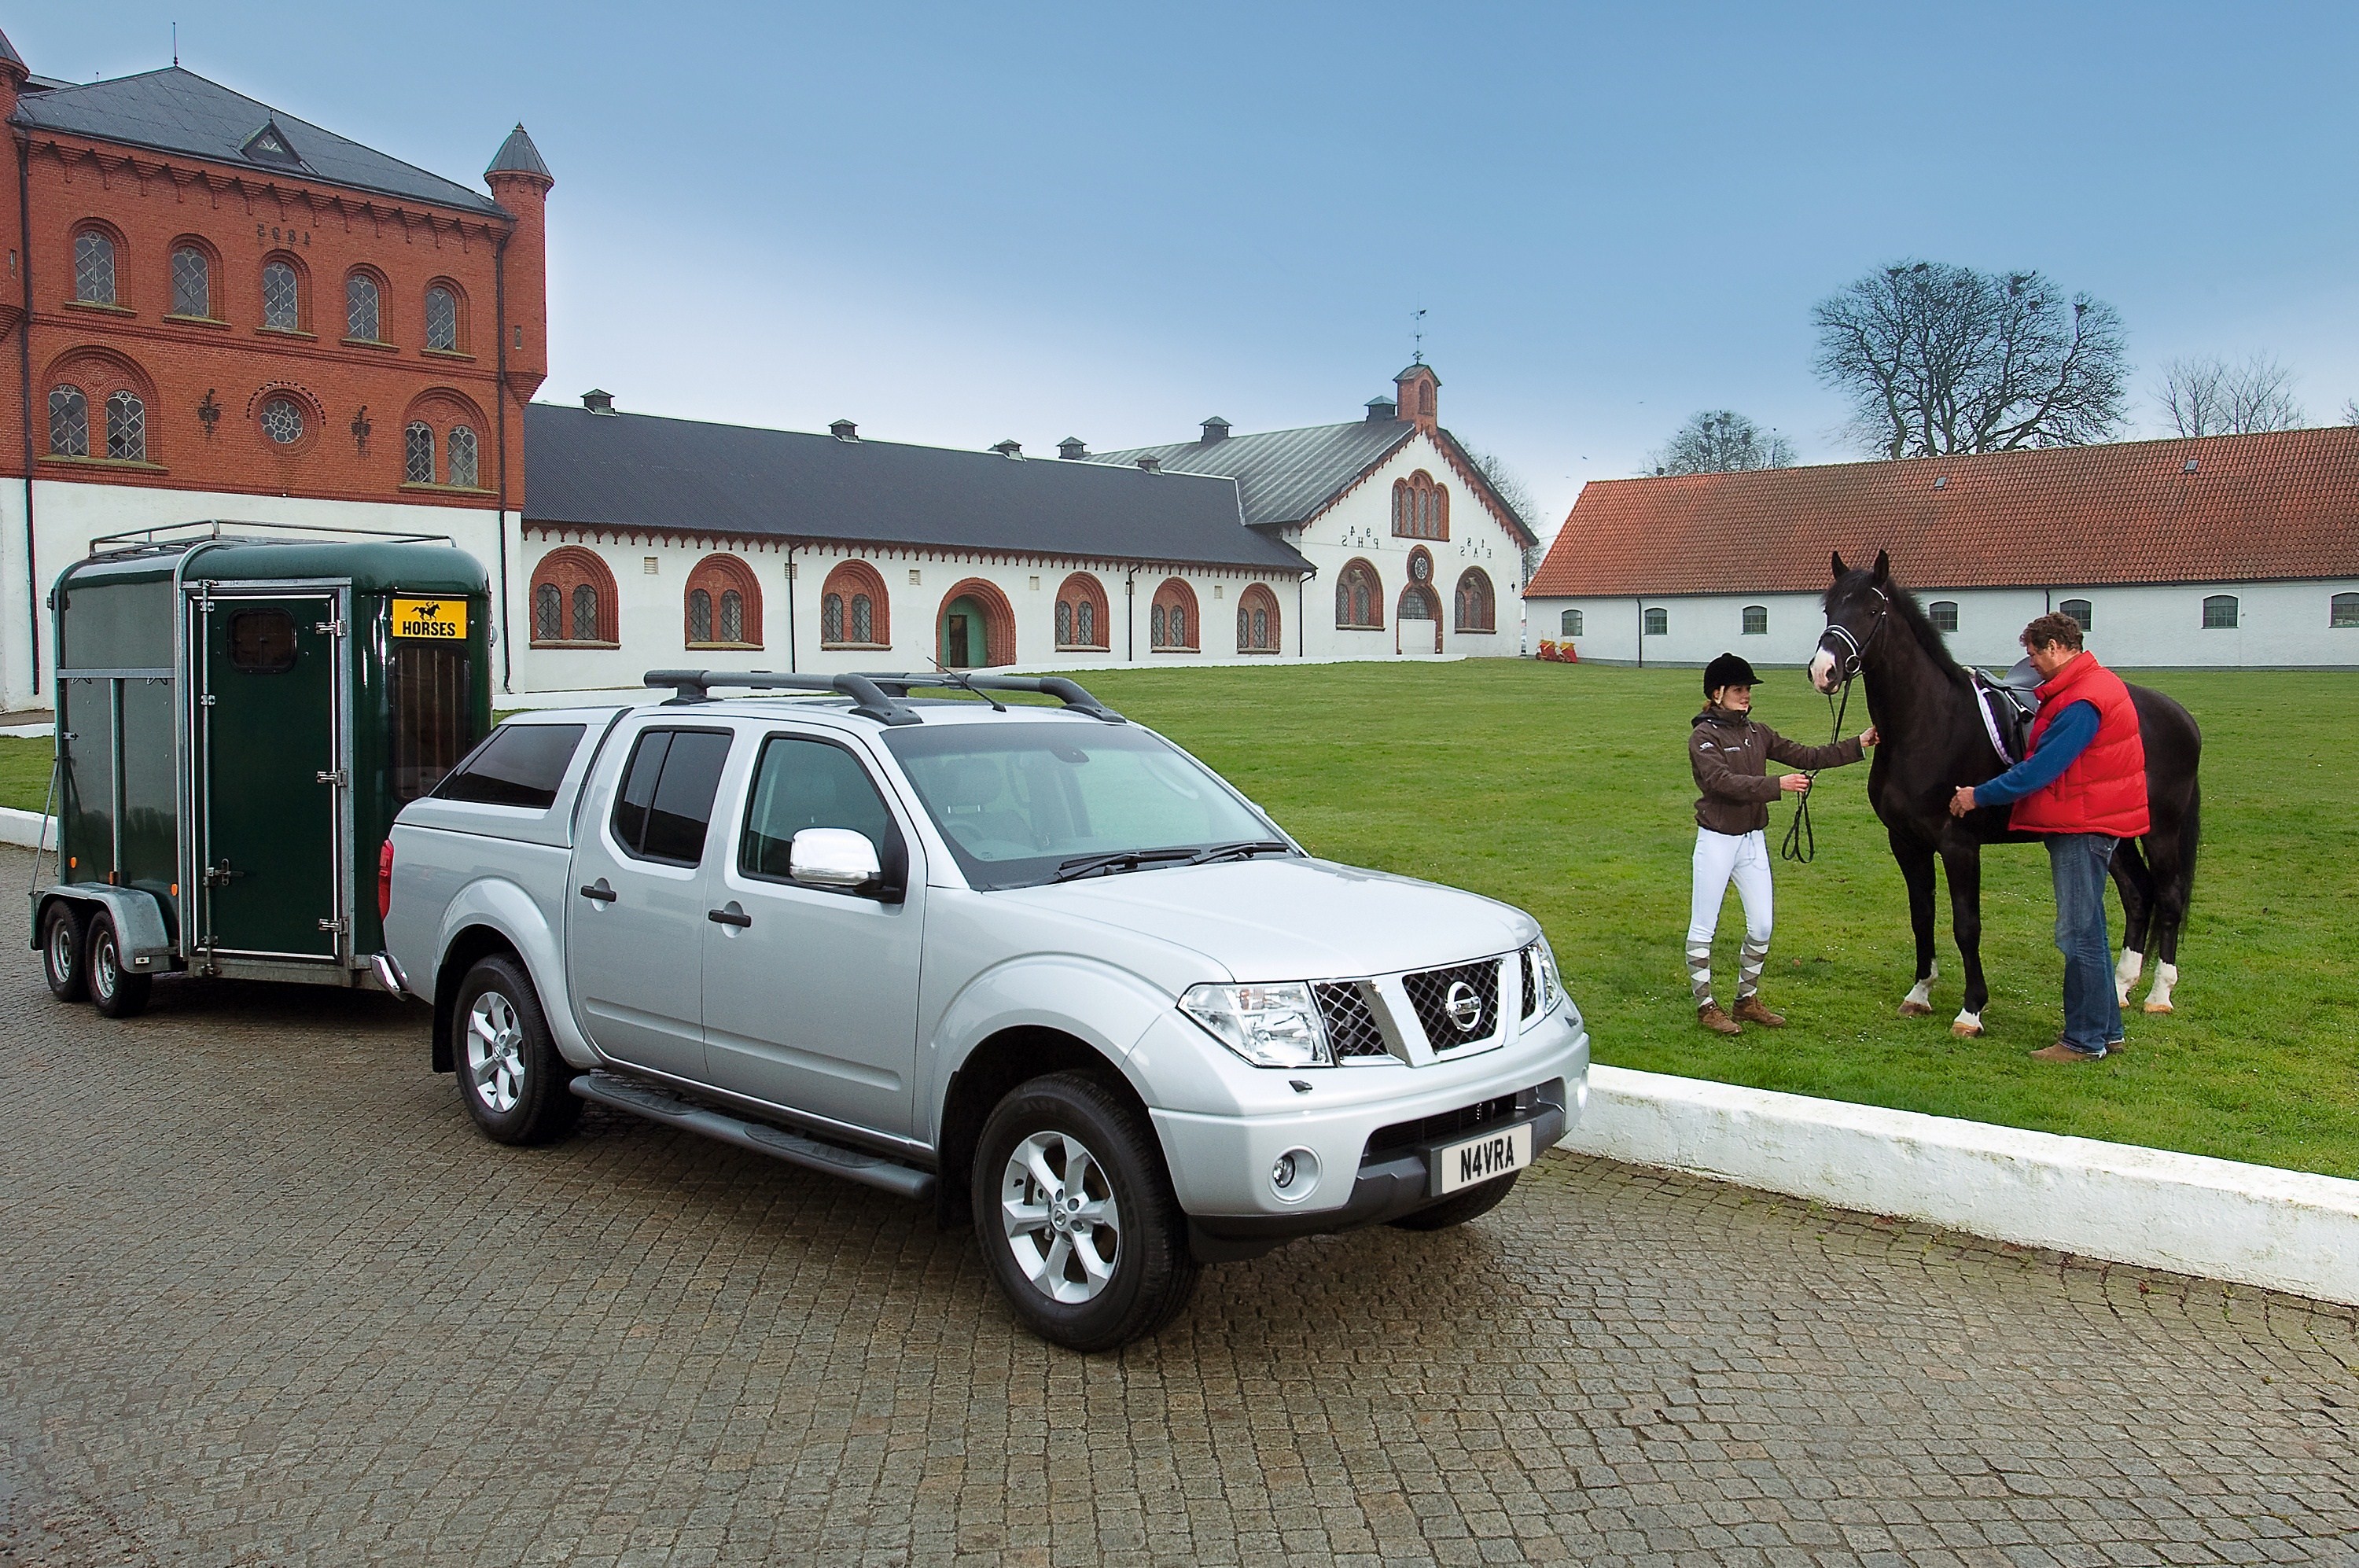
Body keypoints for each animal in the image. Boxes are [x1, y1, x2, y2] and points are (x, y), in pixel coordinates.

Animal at [1812, 544, 2199, 1032]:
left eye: (1872, 610)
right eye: (1830, 609)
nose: (1823, 671)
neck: (1928, 725)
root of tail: (2179, 715)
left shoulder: (1959, 844)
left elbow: (1966, 925)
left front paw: (1971, 1010)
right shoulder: (1906, 842)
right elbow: (1922, 916)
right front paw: (1919, 993)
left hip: (2162, 830)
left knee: (2168, 896)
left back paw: (2159, 994)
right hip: (2115, 833)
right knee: (2138, 894)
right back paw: (2119, 989)